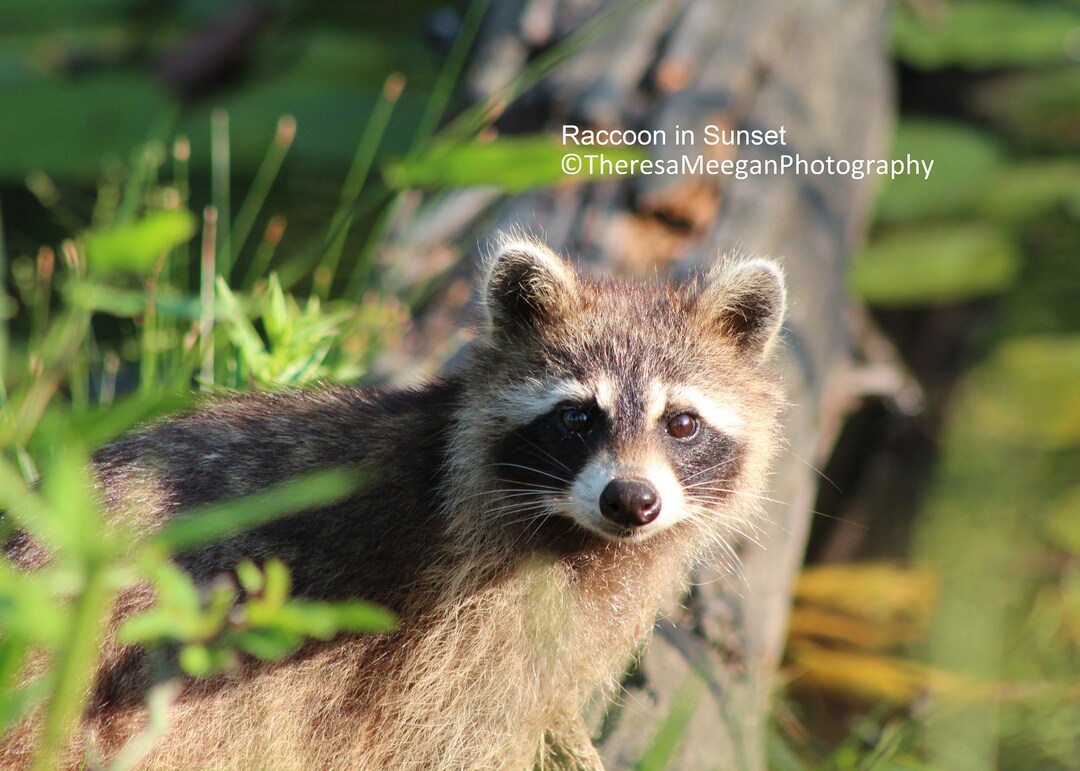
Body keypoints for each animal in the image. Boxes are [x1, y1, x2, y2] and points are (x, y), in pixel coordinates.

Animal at [2, 235, 786, 770]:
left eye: (681, 423)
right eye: (577, 418)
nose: (631, 499)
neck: (579, 534)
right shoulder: (449, 621)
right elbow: (451, 732)